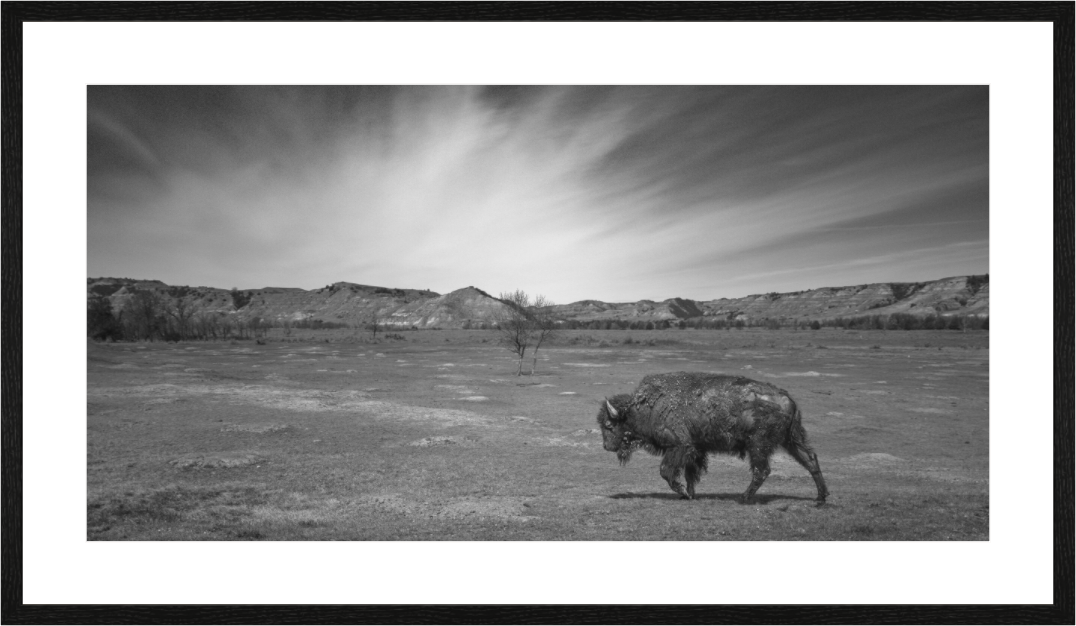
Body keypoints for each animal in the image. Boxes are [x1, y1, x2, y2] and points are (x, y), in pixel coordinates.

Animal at [596, 372, 829, 504]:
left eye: (609, 425)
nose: (606, 446)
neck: (644, 407)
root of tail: (788, 399)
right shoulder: (695, 449)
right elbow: (690, 473)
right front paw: (691, 494)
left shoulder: (679, 446)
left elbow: (666, 471)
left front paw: (683, 493)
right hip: (791, 440)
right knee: (810, 460)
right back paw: (821, 498)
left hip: (758, 445)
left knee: (762, 470)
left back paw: (744, 498)